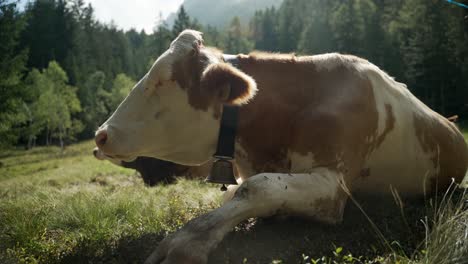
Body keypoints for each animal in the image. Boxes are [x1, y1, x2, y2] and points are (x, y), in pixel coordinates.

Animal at [95, 29, 468, 262]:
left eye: (163, 80)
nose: (100, 135)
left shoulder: (333, 187)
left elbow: (257, 188)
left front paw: (185, 241)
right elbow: (244, 191)